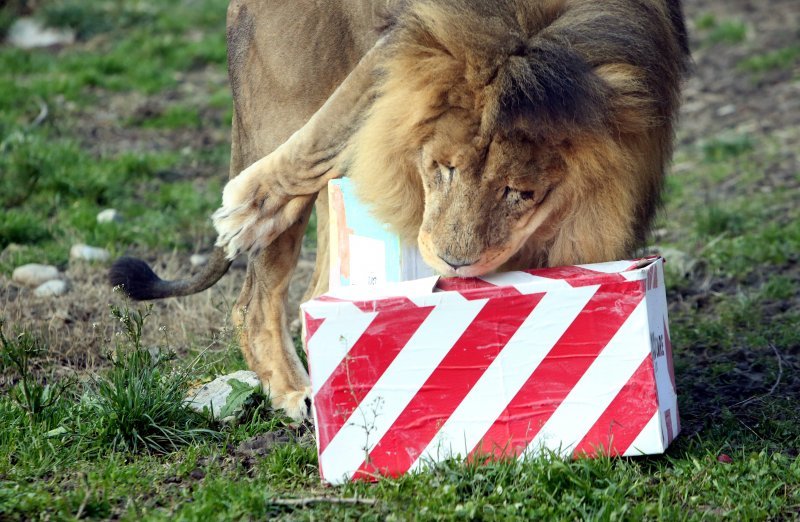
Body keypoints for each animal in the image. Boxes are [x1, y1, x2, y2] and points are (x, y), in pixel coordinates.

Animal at [109, 0, 692, 420]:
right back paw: (294, 389)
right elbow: (329, 129)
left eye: (521, 193)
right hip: (286, 97)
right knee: (254, 298)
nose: (455, 263)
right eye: (444, 168)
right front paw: (248, 207)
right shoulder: (421, 32)